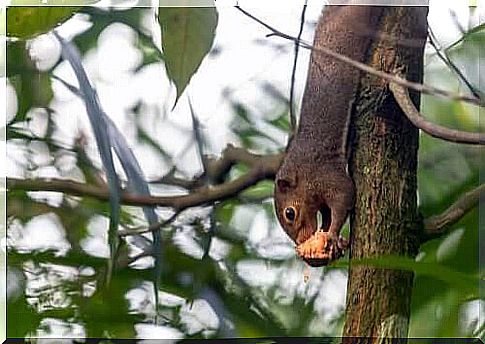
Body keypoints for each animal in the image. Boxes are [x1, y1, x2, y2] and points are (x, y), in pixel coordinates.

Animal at [272, 5, 382, 268]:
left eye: (289, 213)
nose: (300, 241)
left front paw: (331, 235)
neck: (303, 171)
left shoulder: (327, 175)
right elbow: (326, 213)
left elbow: (344, 198)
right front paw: (329, 236)